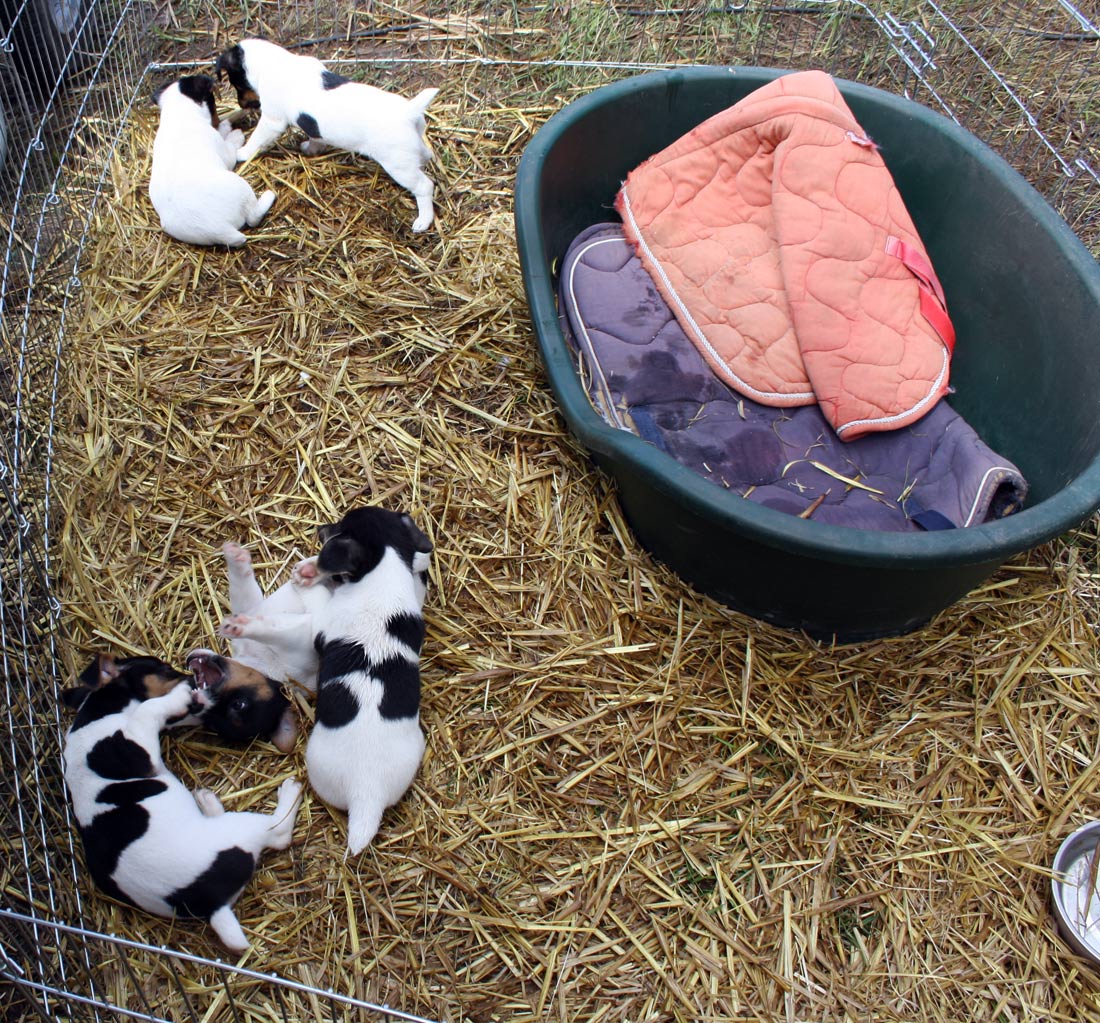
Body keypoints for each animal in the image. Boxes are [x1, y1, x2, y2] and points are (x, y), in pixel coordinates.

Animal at [64, 655, 305, 950]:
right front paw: (181, 695)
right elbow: (148, 709)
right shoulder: (135, 742)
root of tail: (213, 905)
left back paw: (207, 801)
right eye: (163, 668)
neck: (95, 715)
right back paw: (289, 792)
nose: (189, 680)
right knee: (279, 833)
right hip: (242, 829)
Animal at [149, 74, 277, 247]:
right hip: (240, 187)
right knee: (253, 217)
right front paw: (233, 132)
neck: (180, 115)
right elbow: (229, 144)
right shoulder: (224, 152)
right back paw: (269, 195)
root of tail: (220, 229)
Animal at [214, 39, 437, 231]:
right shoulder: (311, 126)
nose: (242, 104)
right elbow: (315, 135)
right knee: (425, 155)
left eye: (236, 84)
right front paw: (310, 149)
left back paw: (423, 221)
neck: (273, 63)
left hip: (398, 165)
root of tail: (409, 111)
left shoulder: (272, 121)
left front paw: (243, 153)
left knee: (425, 186)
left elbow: (257, 139)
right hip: (414, 146)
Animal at [292, 503, 433, 853]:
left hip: (316, 762)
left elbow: (320, 598)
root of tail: (366, 794)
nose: (320, 528)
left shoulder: (323, 626)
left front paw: (307, 574)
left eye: (340, 526)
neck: (384, 575)